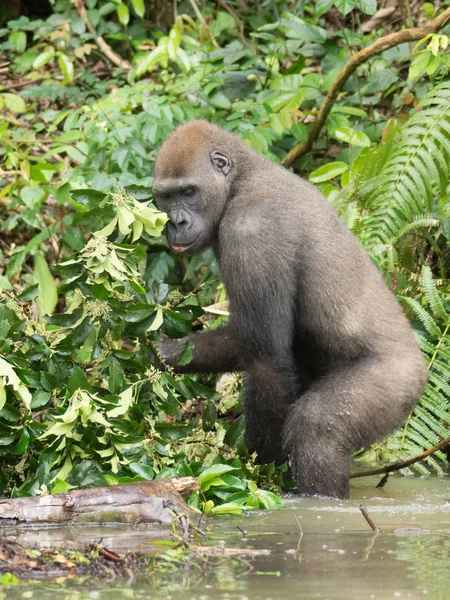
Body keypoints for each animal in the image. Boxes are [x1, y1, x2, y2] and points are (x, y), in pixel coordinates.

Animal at [153, 119, 428, 500]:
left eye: (189, 191)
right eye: (165, 197)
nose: (175, 223)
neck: (241, 180)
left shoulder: (252, 231)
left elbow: (266, 357)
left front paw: (258, 469)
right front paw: (166, 353)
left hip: (397, 382)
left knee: (316, 430)